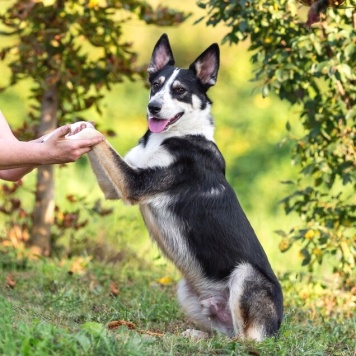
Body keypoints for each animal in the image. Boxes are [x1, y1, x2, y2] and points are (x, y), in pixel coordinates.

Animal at [66, 34, 284, 342]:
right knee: (224, 335)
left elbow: (99, 138)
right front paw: (76, 126)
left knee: (243, 340)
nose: (153, 107)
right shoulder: (116, 185)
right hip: (186, 292)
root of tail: (277, 326)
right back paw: (196, 336)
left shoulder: (134, 183)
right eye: (155, 85)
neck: (176, 135)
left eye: (180, 90)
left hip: (245, 276)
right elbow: (97, 140)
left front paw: (80, 131)